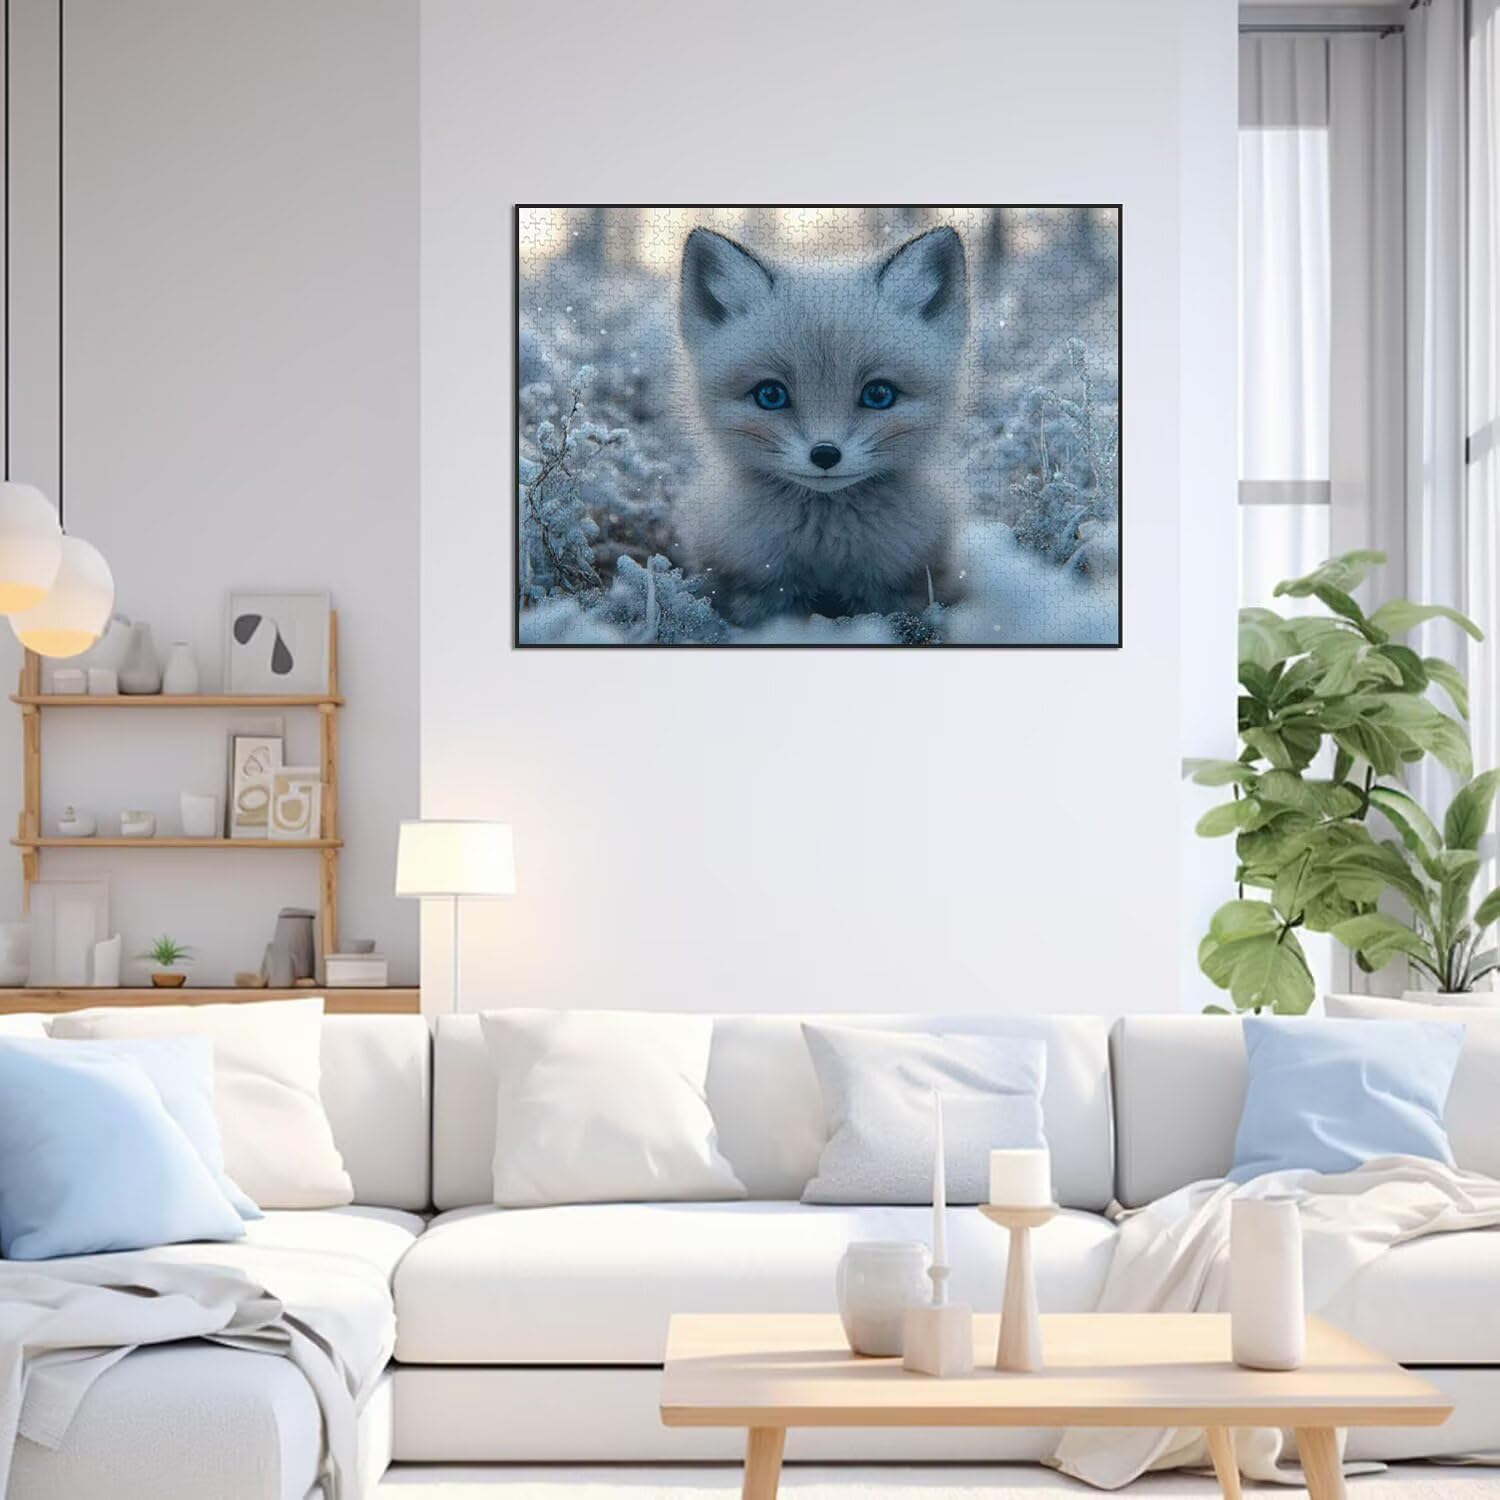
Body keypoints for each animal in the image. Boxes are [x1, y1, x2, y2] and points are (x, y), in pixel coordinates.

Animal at [676, 223, 968, 626]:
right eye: (771, 395)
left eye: (878, 394)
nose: (826, 454)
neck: (824, 543)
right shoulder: (758, 587)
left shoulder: (898, 586)